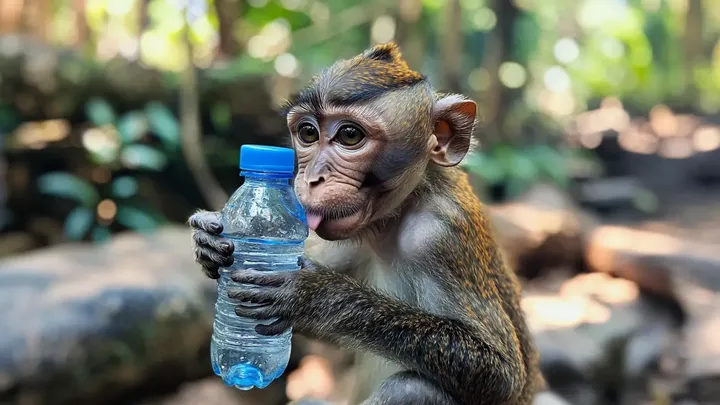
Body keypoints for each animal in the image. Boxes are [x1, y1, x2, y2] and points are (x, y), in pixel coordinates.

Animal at [189, 42, 543, 405]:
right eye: (307, 132)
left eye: (349, 135)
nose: (312, 178)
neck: (396, 216)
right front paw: (208, 243)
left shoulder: (441, 234)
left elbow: (502, 375)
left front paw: (318, 296)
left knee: (412, 388)